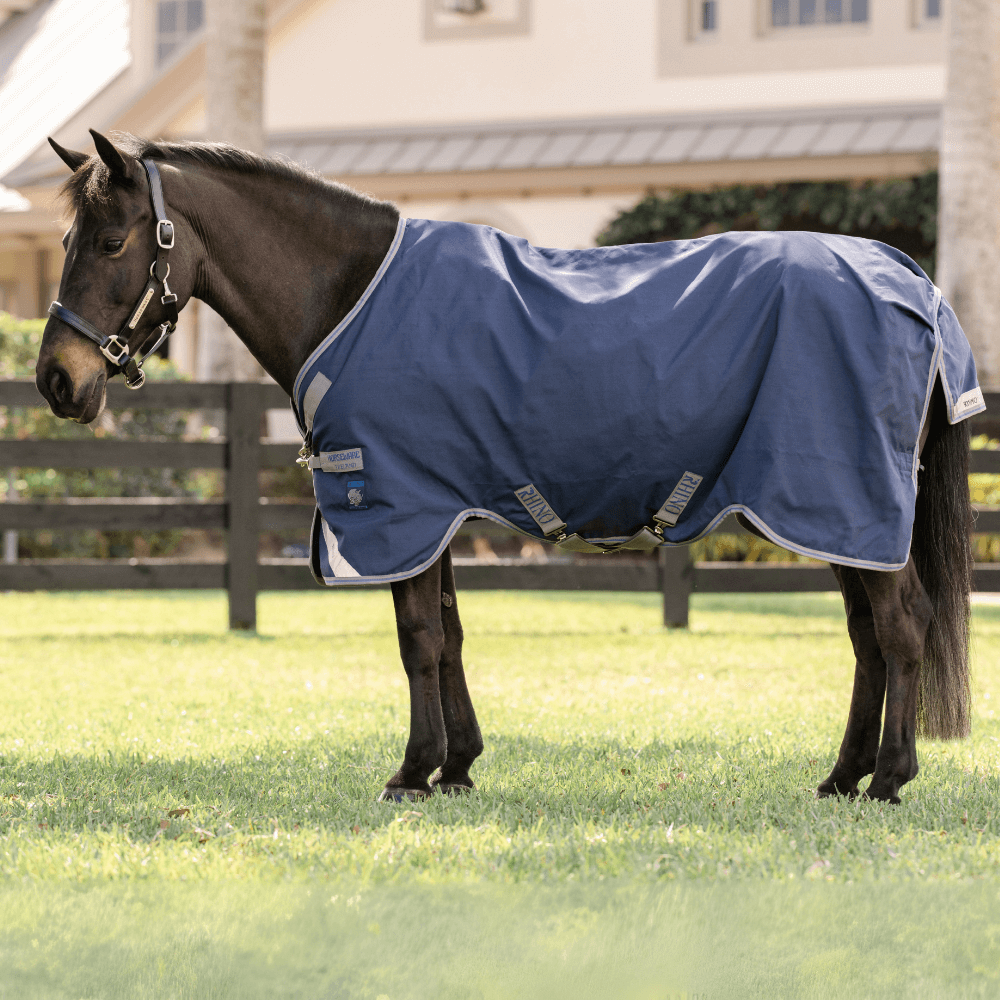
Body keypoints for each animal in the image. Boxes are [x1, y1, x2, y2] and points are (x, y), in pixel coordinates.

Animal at [35, 130, 976, 806]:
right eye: (67, 239)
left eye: (112, 241)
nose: (55, 380)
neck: (348, 294)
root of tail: (911, 281)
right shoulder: (437, 512)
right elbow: (448, 635)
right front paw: (458, 766)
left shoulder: (398, 506)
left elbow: (417, 640)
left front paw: (412, 773)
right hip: (837, 517)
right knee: (867, 638)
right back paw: (843, 777)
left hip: (845, 500)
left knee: (901, 628)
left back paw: (889, 780)